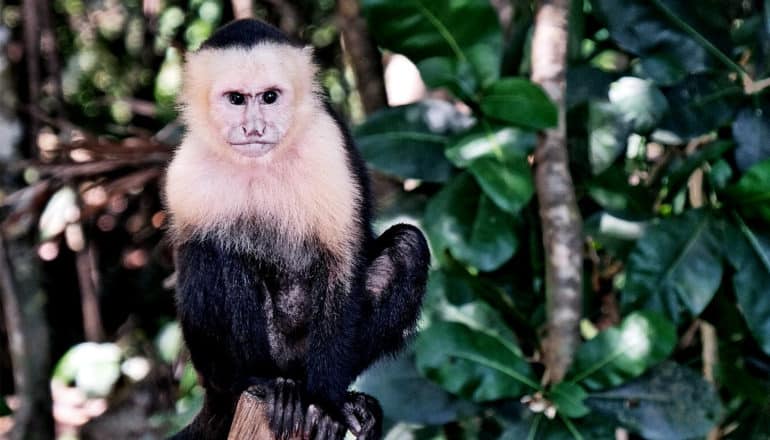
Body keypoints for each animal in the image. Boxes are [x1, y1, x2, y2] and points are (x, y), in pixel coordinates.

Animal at [164, 18, 428, 440]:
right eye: (236, 99)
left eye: (270, 97)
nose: (254, 128)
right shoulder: (183, 173)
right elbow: (195, 251)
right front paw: (261, 383)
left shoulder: (327, 144)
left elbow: (343, 264)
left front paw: (325, 405)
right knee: (210, 249)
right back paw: (259, 385)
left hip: (305, 354)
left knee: (407, 246)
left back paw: (331, 399)